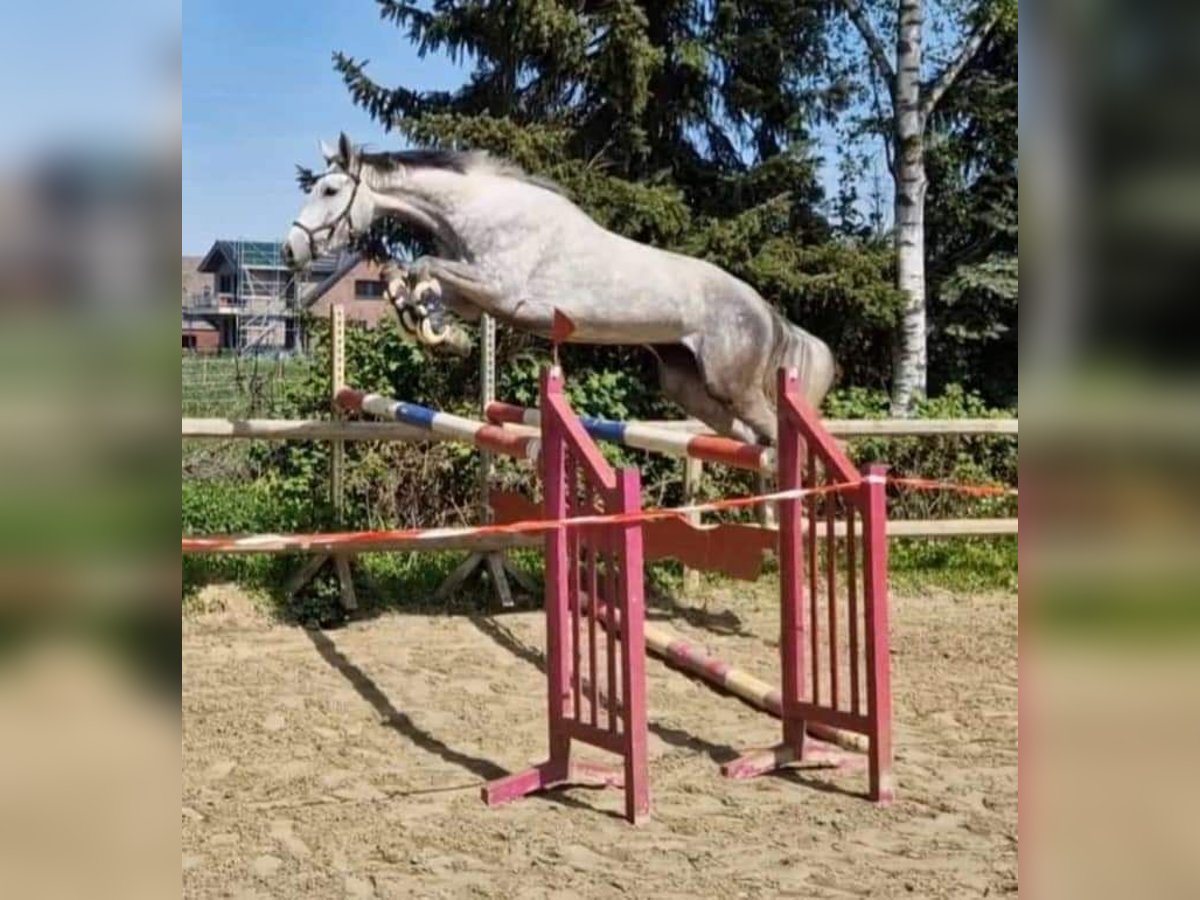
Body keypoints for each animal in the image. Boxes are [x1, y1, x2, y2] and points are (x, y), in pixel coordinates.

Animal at [283, 133, 835, 444]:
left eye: (330, 190)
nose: (290, 250)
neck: (477, 210)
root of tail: (765, 311)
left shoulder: (500, 290)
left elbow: (423, 264)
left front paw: (430, 323)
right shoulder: (477, 295)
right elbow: (414, 276)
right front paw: (433, 327)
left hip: (732, 383)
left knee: (779, 433)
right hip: (689, 387)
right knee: (751, 438)